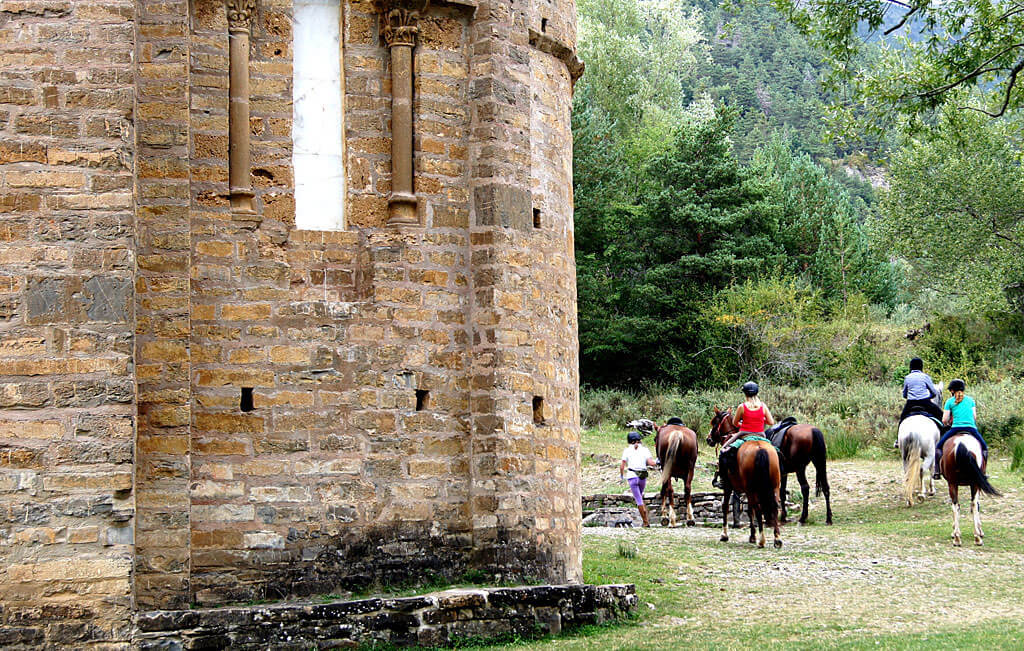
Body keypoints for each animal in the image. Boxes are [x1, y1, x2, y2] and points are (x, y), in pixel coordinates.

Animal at [708, 409, 778, 548]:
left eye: (714, 422)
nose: (708, 439)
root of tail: (760, 448)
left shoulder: (728, 487)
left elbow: (725, 506)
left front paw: (724, 535)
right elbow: (749, 510)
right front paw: (752, 536)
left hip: (752, 489)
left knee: (758, 508)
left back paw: (762, 540)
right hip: (773, 486)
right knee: (774, 506)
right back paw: (777, 539)